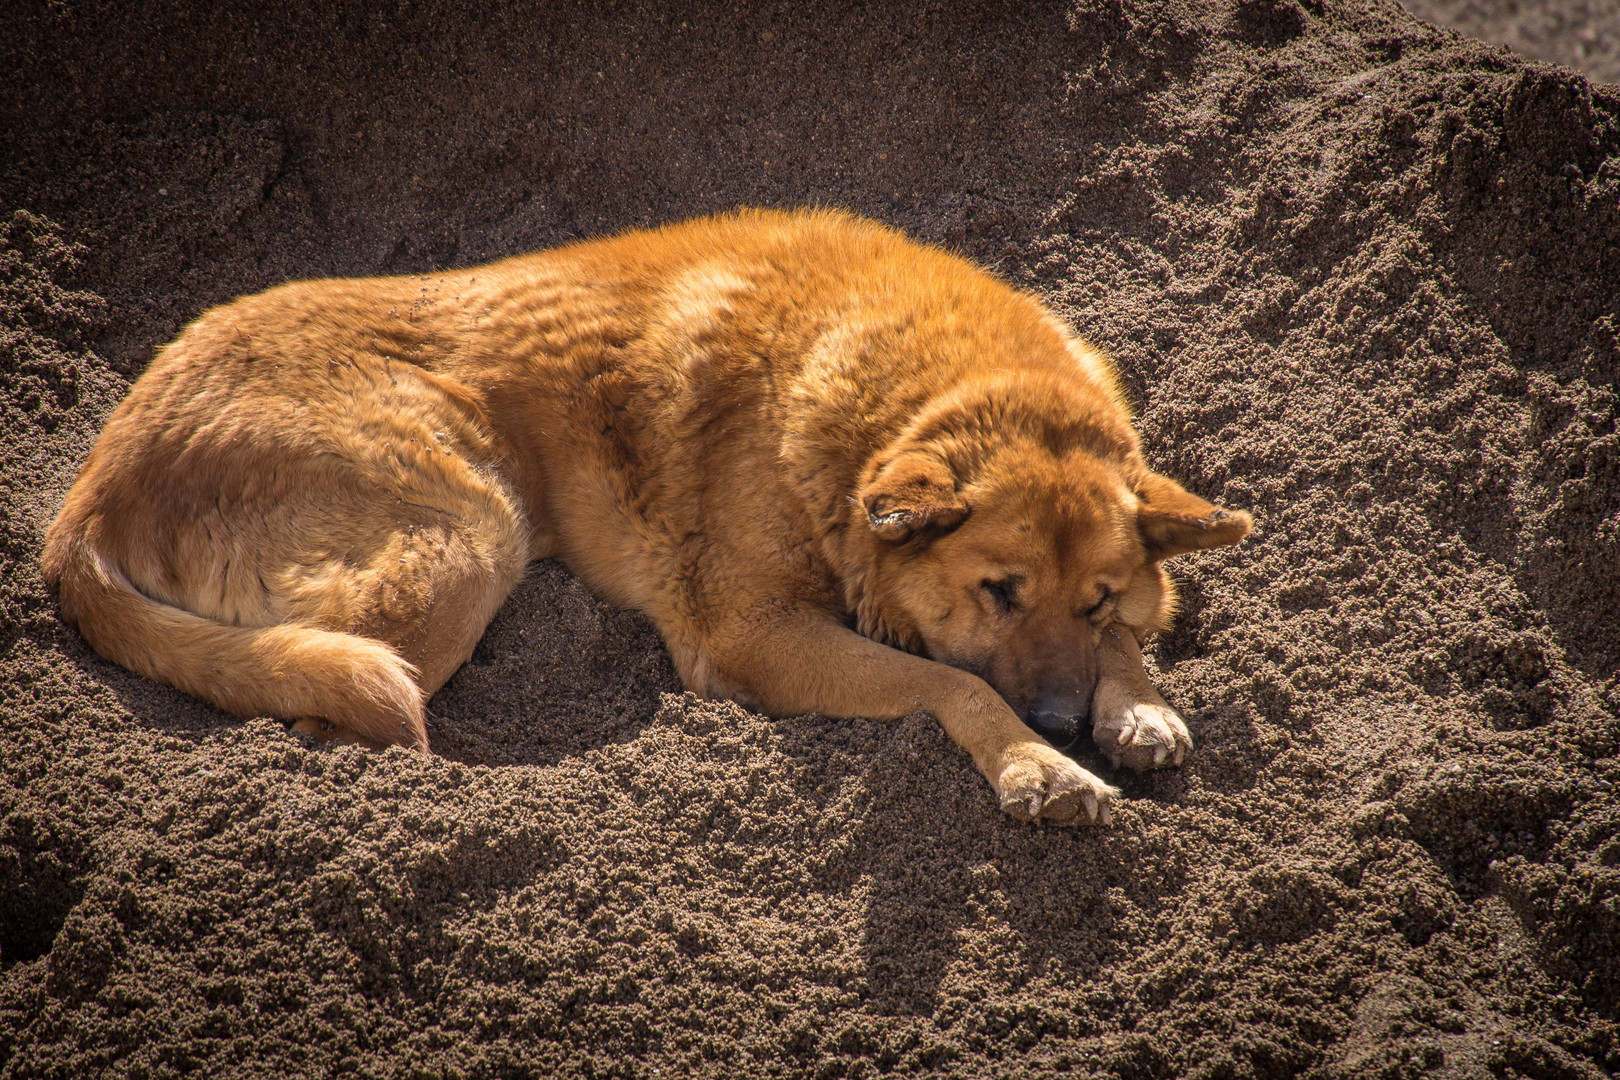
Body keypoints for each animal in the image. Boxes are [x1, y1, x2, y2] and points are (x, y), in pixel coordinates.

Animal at [38, 207, 1250, 822]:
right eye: (998, 592)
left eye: (1096, 601)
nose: (1059, 719)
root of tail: (93, 488)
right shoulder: (751, 637)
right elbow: (955, 683)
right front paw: (1038, 766)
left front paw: (1136, 704)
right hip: (468, 533)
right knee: (322, 715)